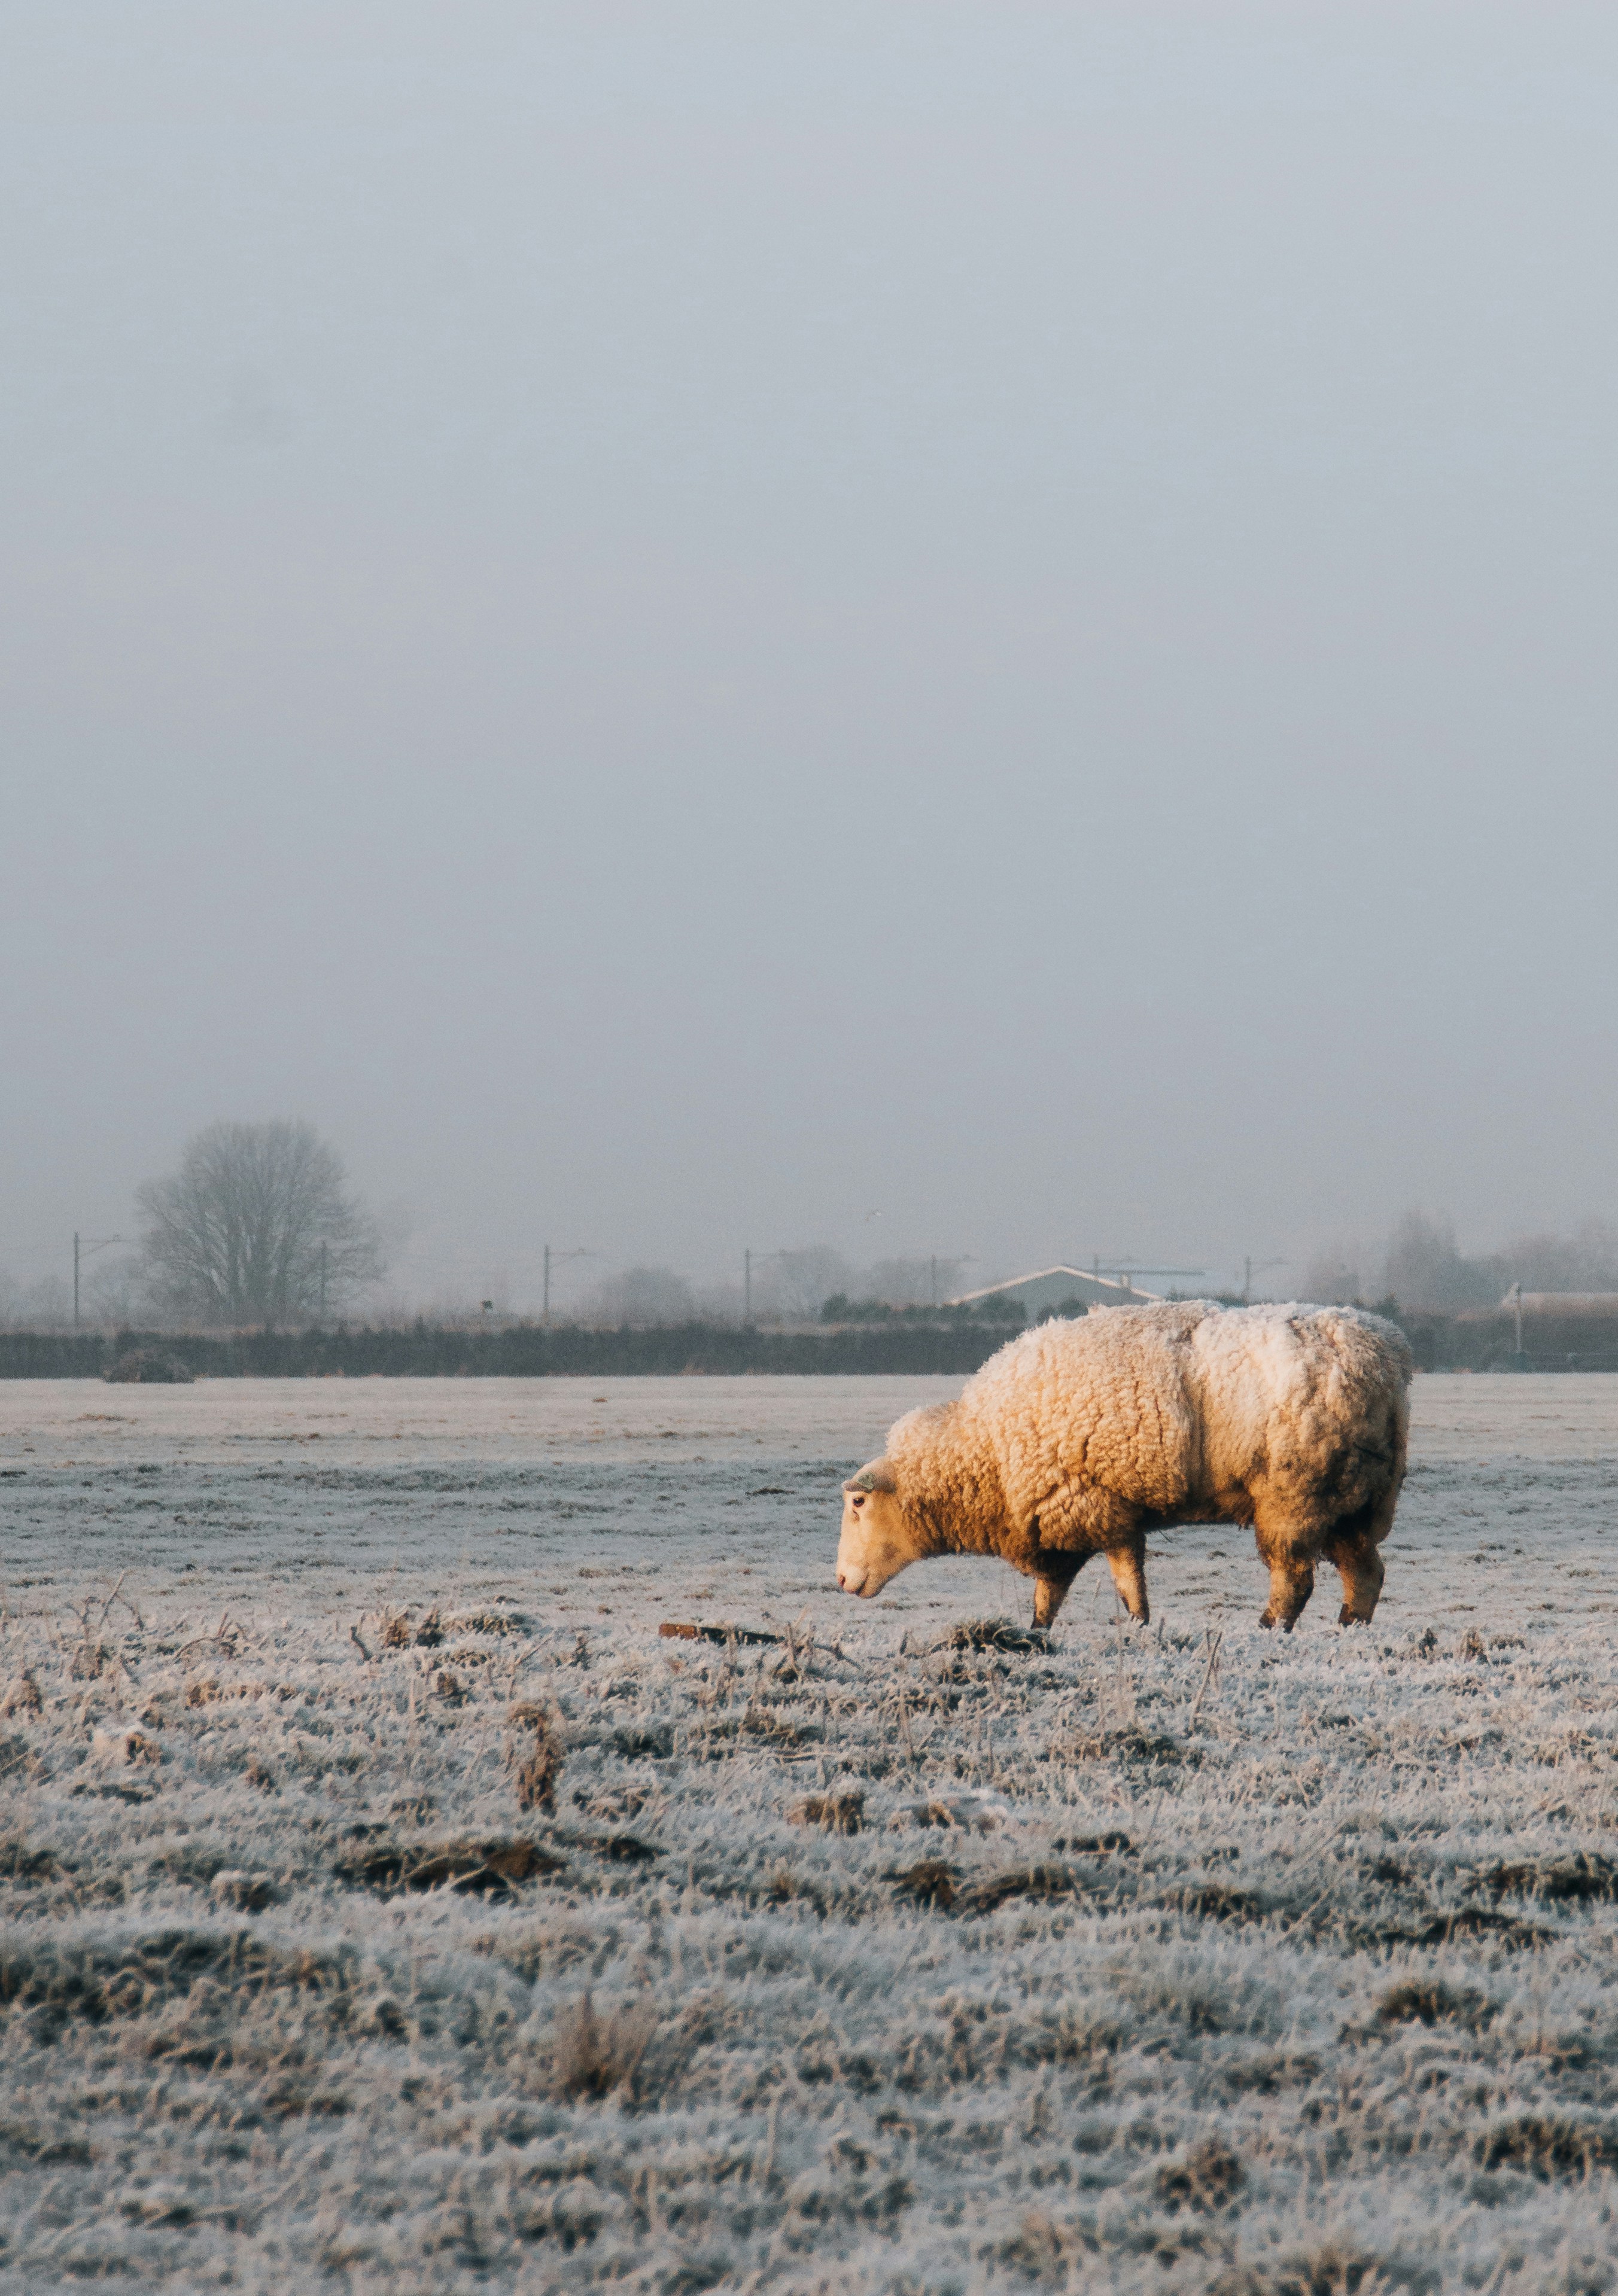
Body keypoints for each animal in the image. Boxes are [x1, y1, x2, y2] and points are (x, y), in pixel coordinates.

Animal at [836, 1302, 1412, 1632]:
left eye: (859, 1502)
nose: (840, 1580)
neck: (989, 1450)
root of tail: (1386, 1352)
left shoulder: (1093, 1505)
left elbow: (1123, 1579)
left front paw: (1135, 1626)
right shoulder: (1068, 1518)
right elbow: (1053, 1593)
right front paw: (1036, 1634)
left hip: (1295, 1494)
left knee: (1294, 1578)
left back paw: (1268, 1628)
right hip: (1354, 1500)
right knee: (1366, 1573)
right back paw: (1350, 1629)